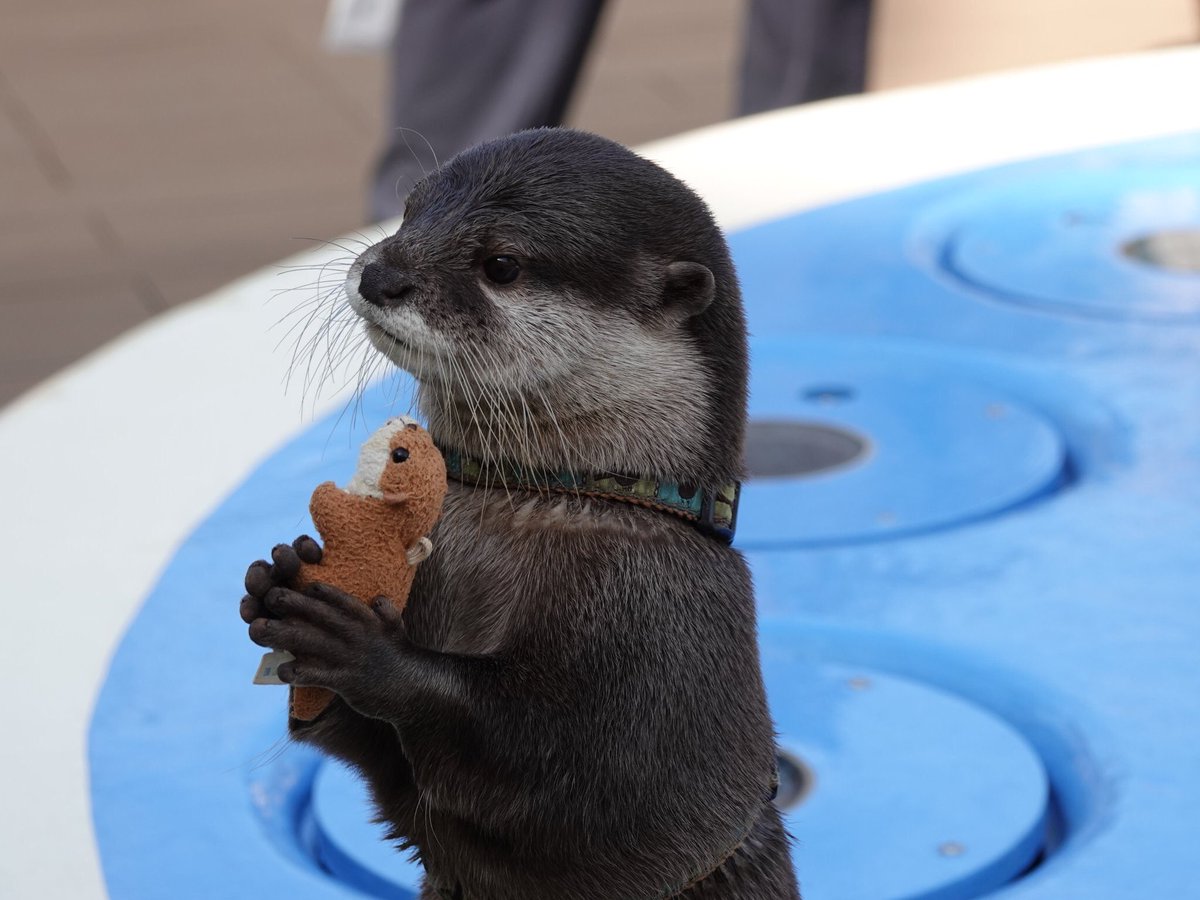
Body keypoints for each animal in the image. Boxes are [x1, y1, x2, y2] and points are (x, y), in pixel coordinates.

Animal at [242, 128, 800, 899]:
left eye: (501, 264)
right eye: (411, 211)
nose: (381, 274)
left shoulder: (664, 628)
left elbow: (555, 775)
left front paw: (363, 648)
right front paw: (281, 572)